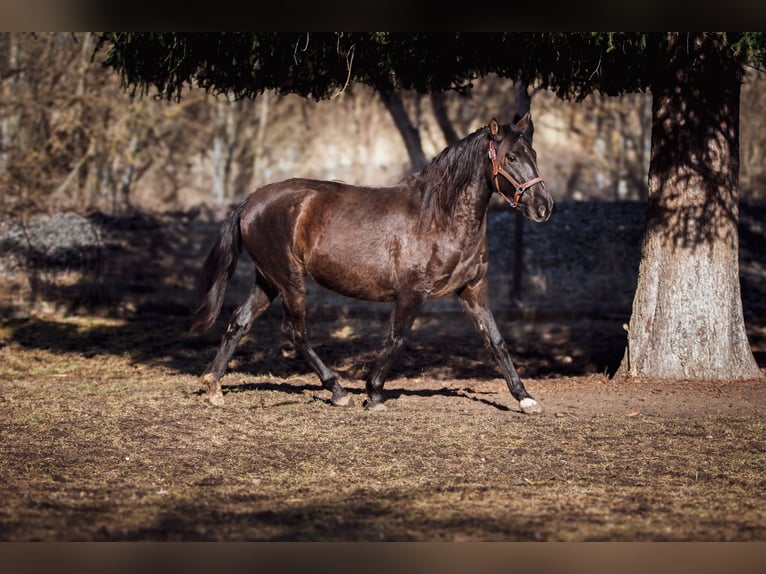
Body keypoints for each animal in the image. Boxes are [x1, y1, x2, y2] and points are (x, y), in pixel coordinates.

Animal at [191, 115, 552, 414]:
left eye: (534, 154)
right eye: (511, 157)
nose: (544, 206)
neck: (441, 216)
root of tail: (252, 200)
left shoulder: (473, 289)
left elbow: (496, 340)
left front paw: (525, 399)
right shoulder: (412, 292)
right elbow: (397, 337)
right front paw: (373, 393)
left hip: (268, 280)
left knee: (240, 321)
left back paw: (213, 386)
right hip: (289, 280)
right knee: (295, 331)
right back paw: (338, 391)